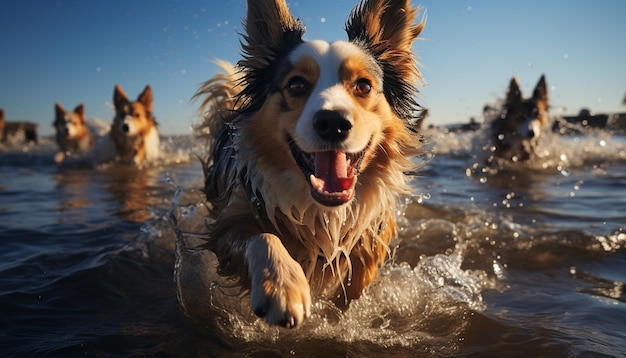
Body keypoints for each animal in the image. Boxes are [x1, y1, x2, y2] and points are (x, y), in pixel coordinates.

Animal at [188, 0, 424, 328]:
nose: (333, 123)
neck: (323, 212)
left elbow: (356, 285)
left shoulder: (370, 237)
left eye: (364, 86)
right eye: (297, 84)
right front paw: (282, 286)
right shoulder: (229, 221)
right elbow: (262, 236)